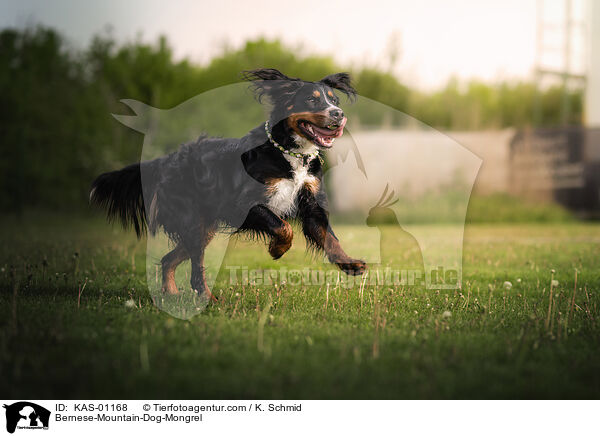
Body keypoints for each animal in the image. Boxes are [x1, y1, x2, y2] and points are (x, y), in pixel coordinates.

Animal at [91, 69, 366, 300]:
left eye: (335, 100)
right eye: (311, 99)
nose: (338, 114)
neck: (289, 152)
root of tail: (167, 160)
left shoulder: (311, 203)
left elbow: (330, 238)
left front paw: (350, 263)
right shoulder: (242, 204)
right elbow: (283, 226)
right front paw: (277, 249)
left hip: (204, 228)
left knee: (170, 259)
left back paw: (171, 294)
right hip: (193, 221)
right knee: (195, 269)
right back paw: (207, 299)